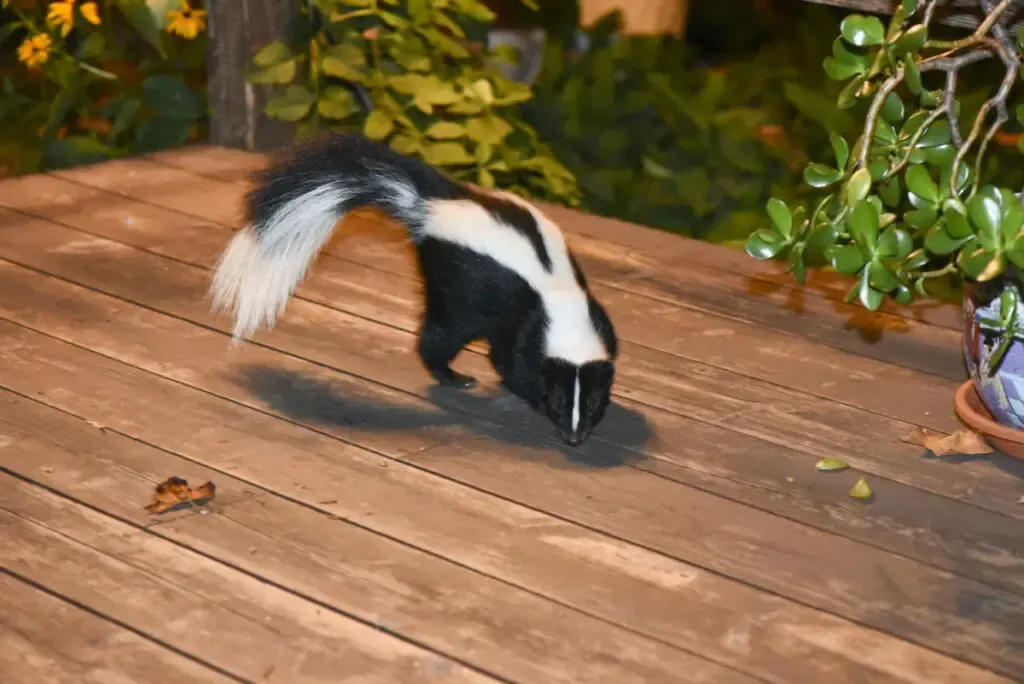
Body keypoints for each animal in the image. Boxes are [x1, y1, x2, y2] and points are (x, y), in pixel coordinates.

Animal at [209, 133, 614, 446]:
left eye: (592, 404)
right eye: (559, 403)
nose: (575, 437)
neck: (559, 296)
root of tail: (429, 205)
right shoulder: (524, 322)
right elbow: (514, 363)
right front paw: (523, 391)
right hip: (453, 283)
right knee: (439, 335)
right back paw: (454, 377)